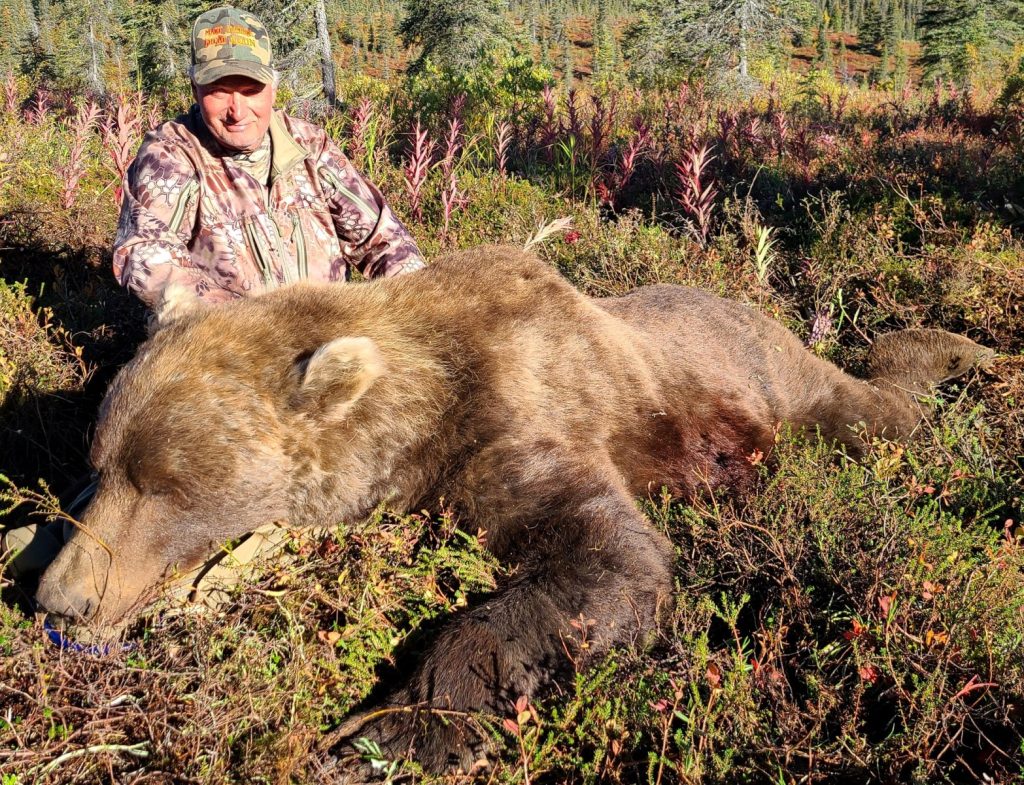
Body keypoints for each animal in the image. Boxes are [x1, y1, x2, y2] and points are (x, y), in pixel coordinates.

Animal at [36, 247, 987, 773]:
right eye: (98, 465)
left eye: (166, 484)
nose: (59, 599)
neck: (427, 394)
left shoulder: (522, 409)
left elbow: (604, 559)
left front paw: (379, 735)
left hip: (766, 373)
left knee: (872, 407)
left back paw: (967, 356)